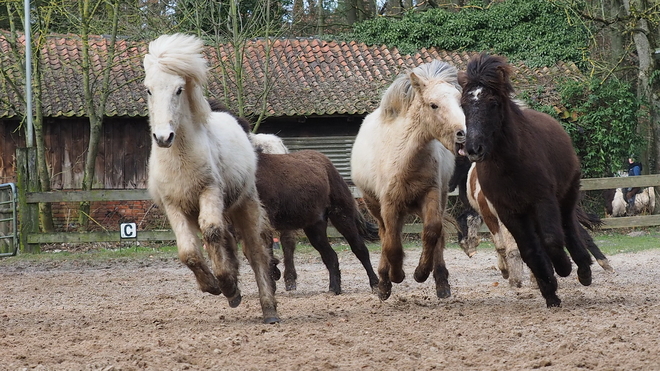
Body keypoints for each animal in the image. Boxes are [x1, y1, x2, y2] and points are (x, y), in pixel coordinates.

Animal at [143, 35, 280, 326]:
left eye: (179, 90)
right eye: (148, 90)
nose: (163, 137)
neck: (180, 158)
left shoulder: (209, 192)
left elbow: (212, 231)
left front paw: (226, 284)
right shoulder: (174, 206)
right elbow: (189, 252)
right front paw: (214, 286)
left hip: (244, 204)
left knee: (254, 251)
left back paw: (269, 310)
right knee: (225, 239)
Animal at [354, 59, 466, 300]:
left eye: (459, 102)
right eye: (433, 105)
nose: (463, 134)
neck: (406, 159)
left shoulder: (431, 195)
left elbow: (432, 231)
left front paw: (421, 273)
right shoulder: (389, 204)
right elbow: (391, 244)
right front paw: (393, 277)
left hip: (438, 199)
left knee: (436, 235)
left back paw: (441, 283)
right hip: (375, 205)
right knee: (385, 234)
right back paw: (384, 281)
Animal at [458, 53, 604, 308]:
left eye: (493, 103)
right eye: (464, 105)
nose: (474, 149)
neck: (510, 166)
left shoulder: (543, 201)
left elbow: (552, 239)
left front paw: (562, 268)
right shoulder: (509, 212)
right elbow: (528, 250)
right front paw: (550, 290)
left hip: (565, 198)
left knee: (568, 227)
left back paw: (583, 269)